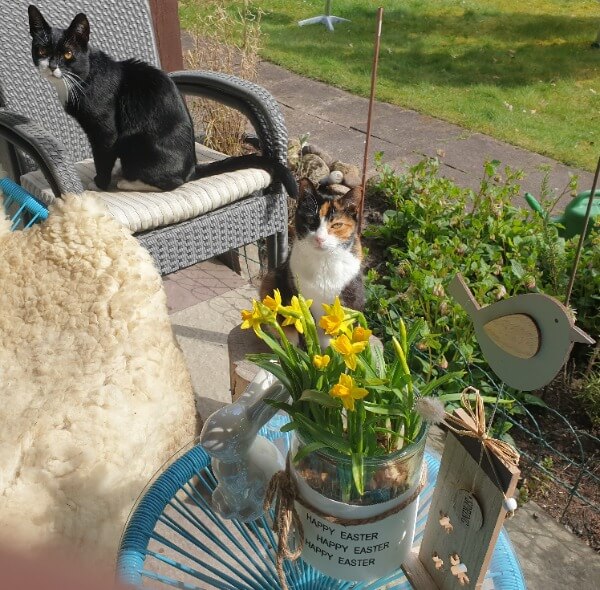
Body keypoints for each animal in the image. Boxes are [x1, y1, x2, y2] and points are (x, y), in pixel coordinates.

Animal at [27, 5, 298, 197]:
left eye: (67, 54)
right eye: (41, 50)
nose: (51, 66)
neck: (84, 76)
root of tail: (193, 167)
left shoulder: (105, 132)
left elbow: (102, 159)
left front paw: (99, 184)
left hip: (134, 142)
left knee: (174, 182)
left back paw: (127, 181)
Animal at [262, 178, 366, 350]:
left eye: (337, 225)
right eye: (311, 220)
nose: (320, 239)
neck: (323, 262)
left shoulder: (351, 299)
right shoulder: (297, 297)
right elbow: (305, 330)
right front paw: (309, 355)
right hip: (269, 280)